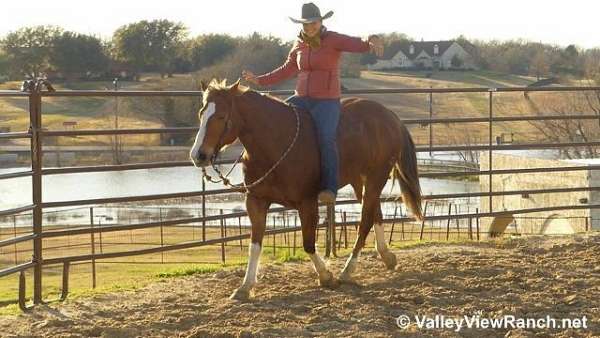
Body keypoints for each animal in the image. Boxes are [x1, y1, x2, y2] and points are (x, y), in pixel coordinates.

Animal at [191, 80, 422, 302]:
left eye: (221, 116)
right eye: (201, 114)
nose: (198, 155)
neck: (276, 143)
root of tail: (389, 116)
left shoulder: (307, 203)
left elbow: (308, 243)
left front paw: (326, 276)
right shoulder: (256, 201)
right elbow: (254, 245)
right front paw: (244, 287)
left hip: (376, 177)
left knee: (365, 221)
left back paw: (348, 271)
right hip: (361, 181)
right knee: (375, 212)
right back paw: (387, 256)